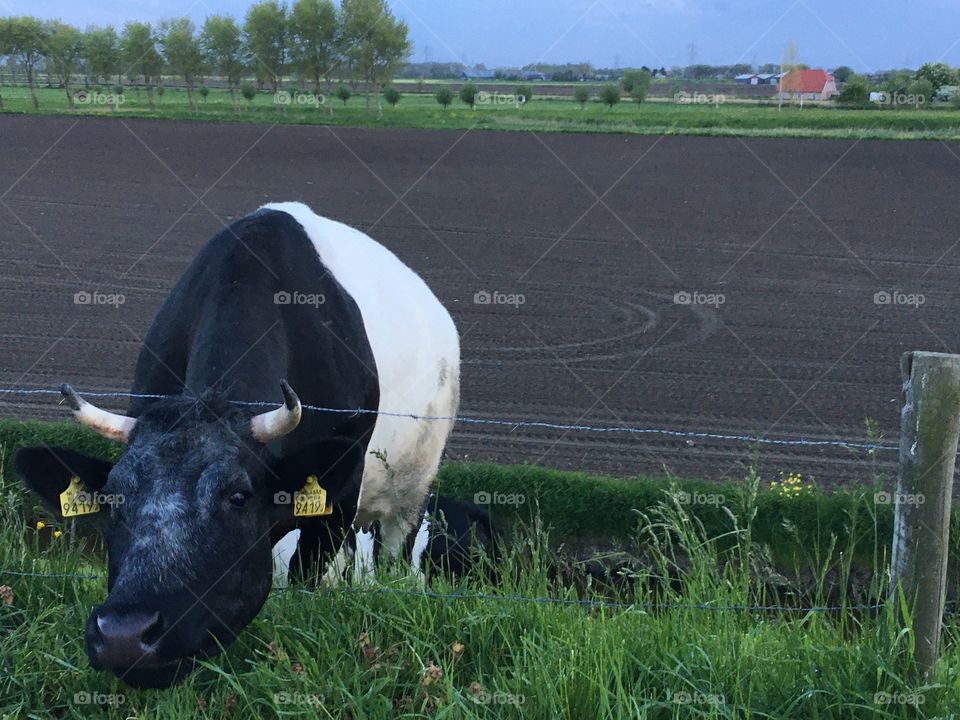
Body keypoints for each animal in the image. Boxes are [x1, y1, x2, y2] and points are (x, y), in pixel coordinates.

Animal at [14, 201, 460, 689]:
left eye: (239, 497)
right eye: (114, 498)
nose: (124, 635)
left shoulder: (339, 494)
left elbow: (305, 580)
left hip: (411, 495)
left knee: (391, 556)